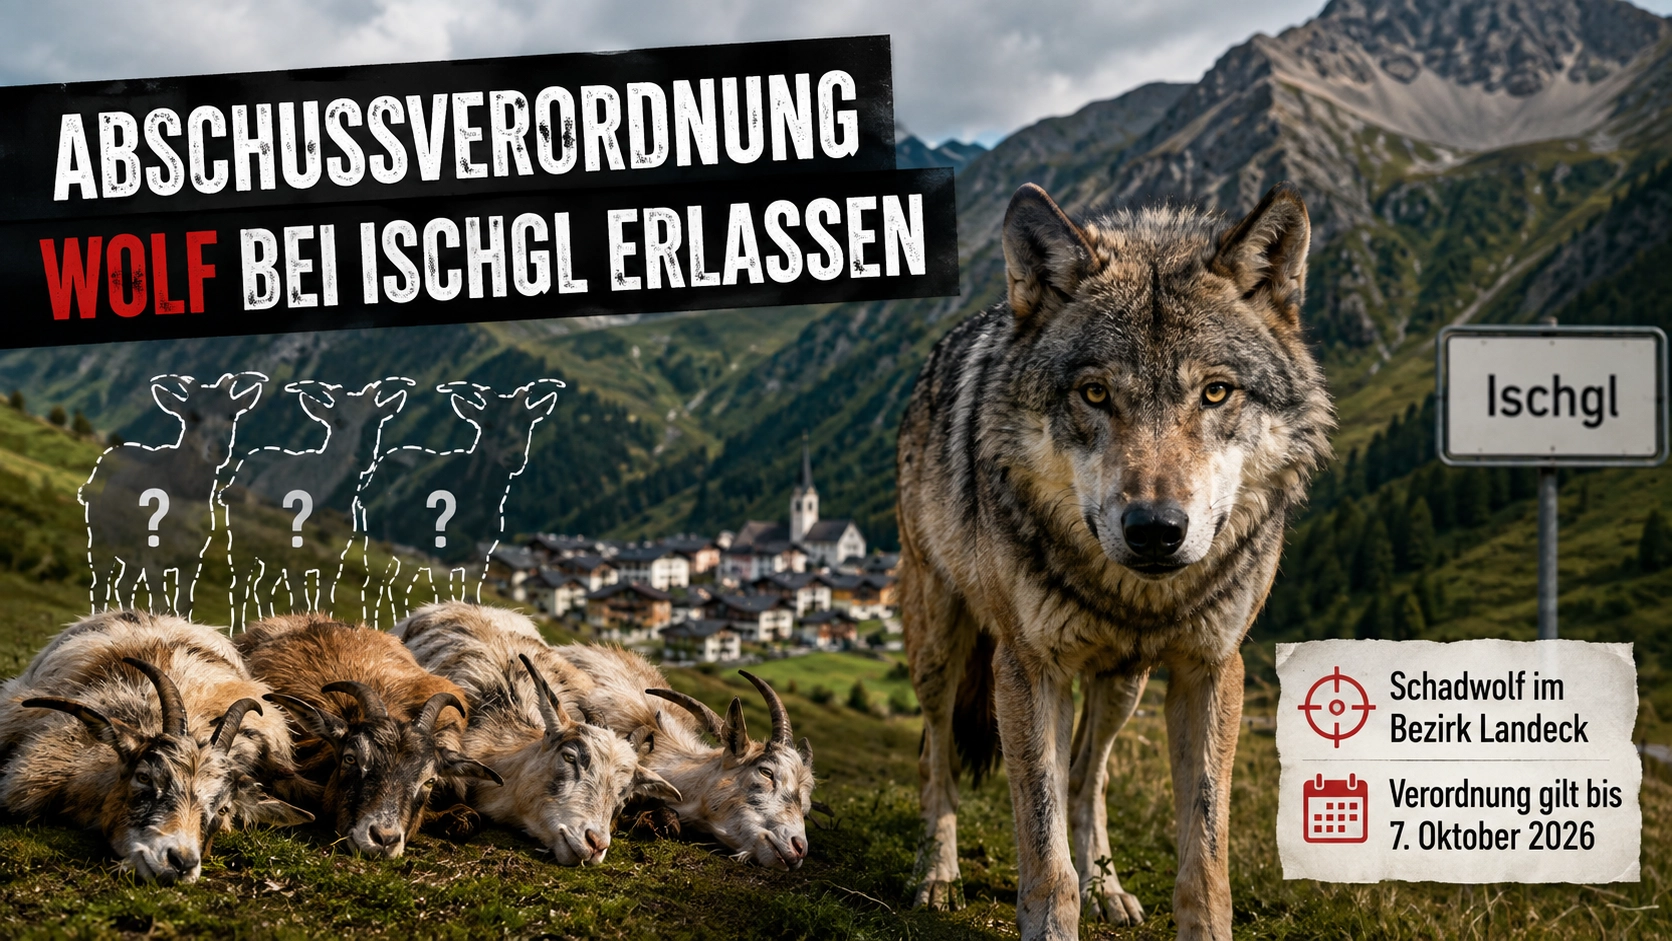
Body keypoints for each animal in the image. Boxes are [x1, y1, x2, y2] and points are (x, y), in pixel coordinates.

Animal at [80, 372, 266, 617]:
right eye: (191, 414)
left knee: (124, 585)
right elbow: (161, 604)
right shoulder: (152, 557)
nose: (217, 449)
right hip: (99, 538)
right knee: (100, 585)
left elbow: (184, 605)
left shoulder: (191, 559)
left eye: (232, 414)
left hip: (131, 554)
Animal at [896, 182, 1333, 940]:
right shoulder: (1028, 669)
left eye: (1215, 392)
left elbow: (1204, 858)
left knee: (1086, 775)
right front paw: (1051, 918)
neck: (1137, 593)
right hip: (939, 647)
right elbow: (1044, 853)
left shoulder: (1211, 668)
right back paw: (937, 874)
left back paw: (1109, 888)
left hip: (1124, 683)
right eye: (1095, 393)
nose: (1156, 530)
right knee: (937, 756)